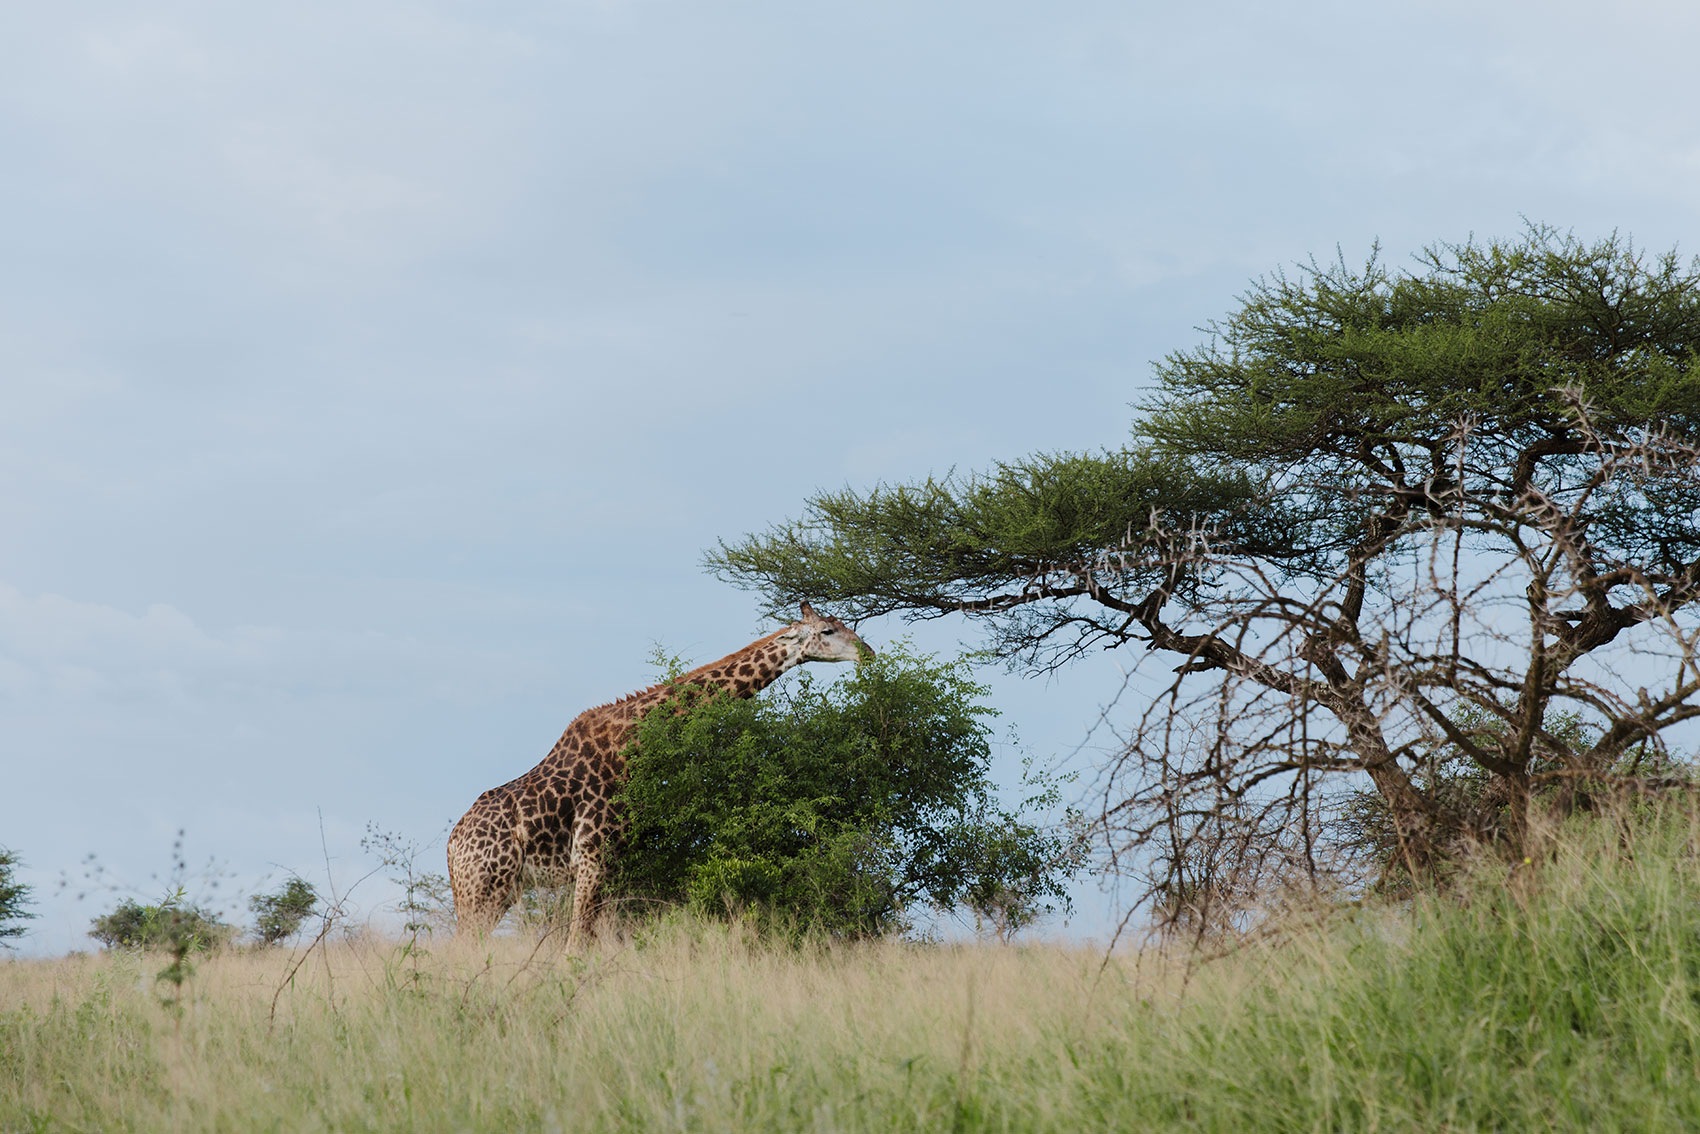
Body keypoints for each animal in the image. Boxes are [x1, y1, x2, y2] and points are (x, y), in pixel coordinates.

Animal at [446, 602, 873, 947]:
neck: (630, 744)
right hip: (485, 888)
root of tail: (451, 849)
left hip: (493, 892)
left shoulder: (616, 863)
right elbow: (575, 946)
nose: (867, 652)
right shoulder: (592, 857)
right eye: (827, 631)